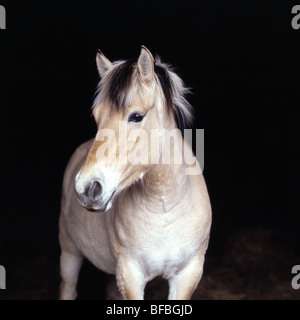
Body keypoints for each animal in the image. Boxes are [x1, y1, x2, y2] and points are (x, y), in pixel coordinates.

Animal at [58, 45, 212, 300]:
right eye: (97, 116)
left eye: (136, 116)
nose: (86, 188)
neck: (164, 208)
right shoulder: (130, 276)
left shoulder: (188, 275)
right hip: (70, 253)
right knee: (68, 287)